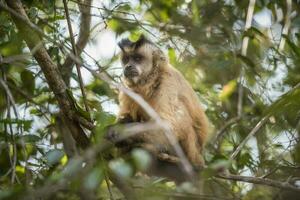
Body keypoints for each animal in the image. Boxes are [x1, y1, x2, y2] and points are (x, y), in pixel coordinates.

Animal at [107, 34, 209, 178]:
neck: (151, 81)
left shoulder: (168, 82)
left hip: (192, 152)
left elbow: (167, 127)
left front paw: (117, 132)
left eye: (137, 58)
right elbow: (127, 116)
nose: (128, 66)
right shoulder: (128, 88)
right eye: (126, 59)